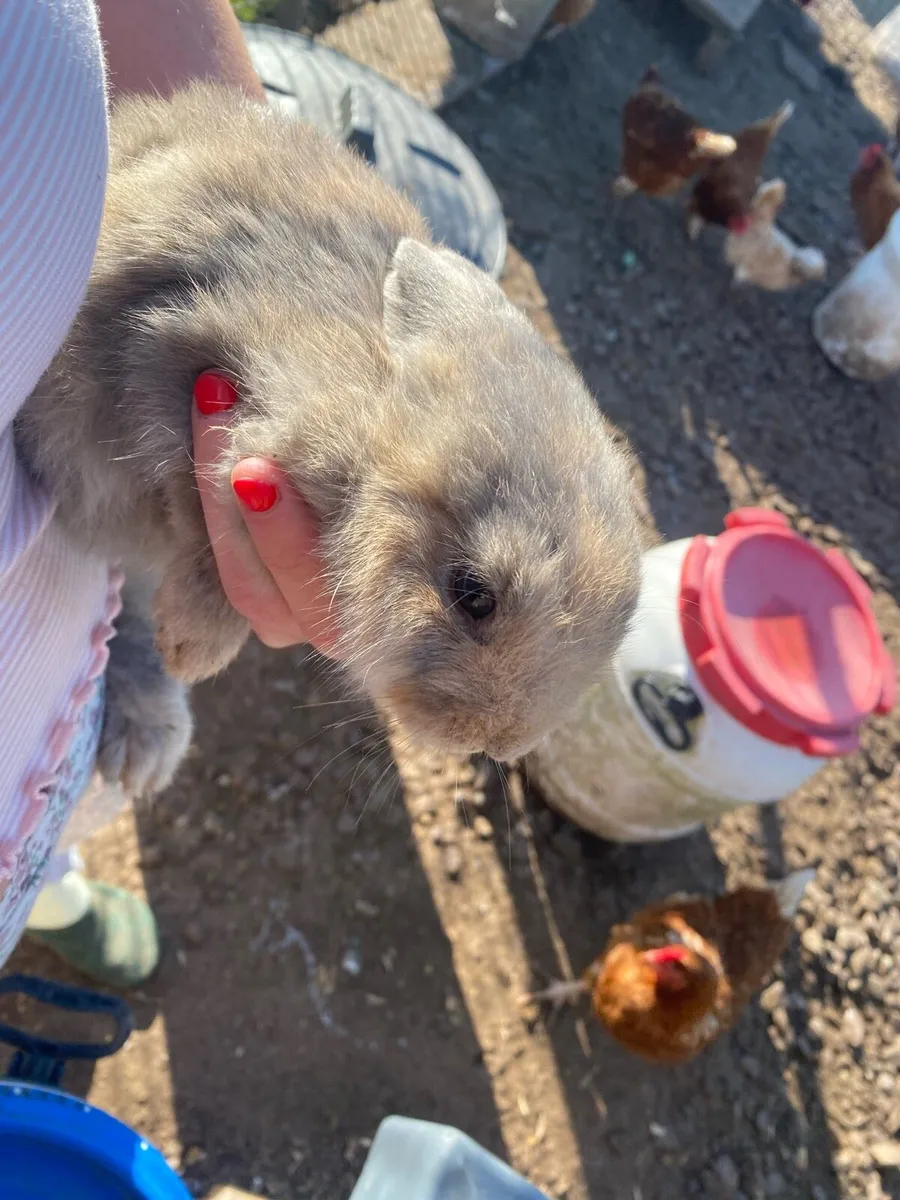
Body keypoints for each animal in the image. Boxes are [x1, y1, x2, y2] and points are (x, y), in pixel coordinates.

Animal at [16, 84, 642, 795]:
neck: (373, 435)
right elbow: (210, 537)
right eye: (472, 595)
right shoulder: (185, 381)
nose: (494, 742)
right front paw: (193, 649)